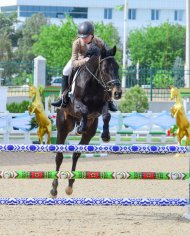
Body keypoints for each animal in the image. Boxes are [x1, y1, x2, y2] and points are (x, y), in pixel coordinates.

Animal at [50, 45, 121, 196]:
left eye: (117, 67)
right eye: (105, 69)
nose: (118, 93)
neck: (94, 83)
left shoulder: (102, 106)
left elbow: (107, 115)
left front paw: (106, 136)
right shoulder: (76, 102)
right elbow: (84, 109)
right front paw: (81, 126)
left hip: (90, 132)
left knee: (76, 154)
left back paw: (70, 186)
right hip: (63, 127)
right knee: (59, 156)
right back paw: (53, 189)